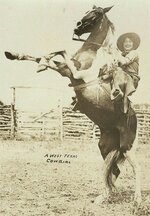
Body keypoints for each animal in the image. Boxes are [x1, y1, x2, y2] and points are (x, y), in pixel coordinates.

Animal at [4, 5, 142, 208]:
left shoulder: (75, 73)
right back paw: (106, 196)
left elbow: (60, 51)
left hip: (127, 146)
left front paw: (42, 63)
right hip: (105, 147)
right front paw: (16, 55)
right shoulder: (66, 70)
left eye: (95, 13)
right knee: (114, 171)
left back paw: (136, 200)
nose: (77, 26)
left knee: (136, 169)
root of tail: (133, 119)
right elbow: (46, 57)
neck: (92, 54)